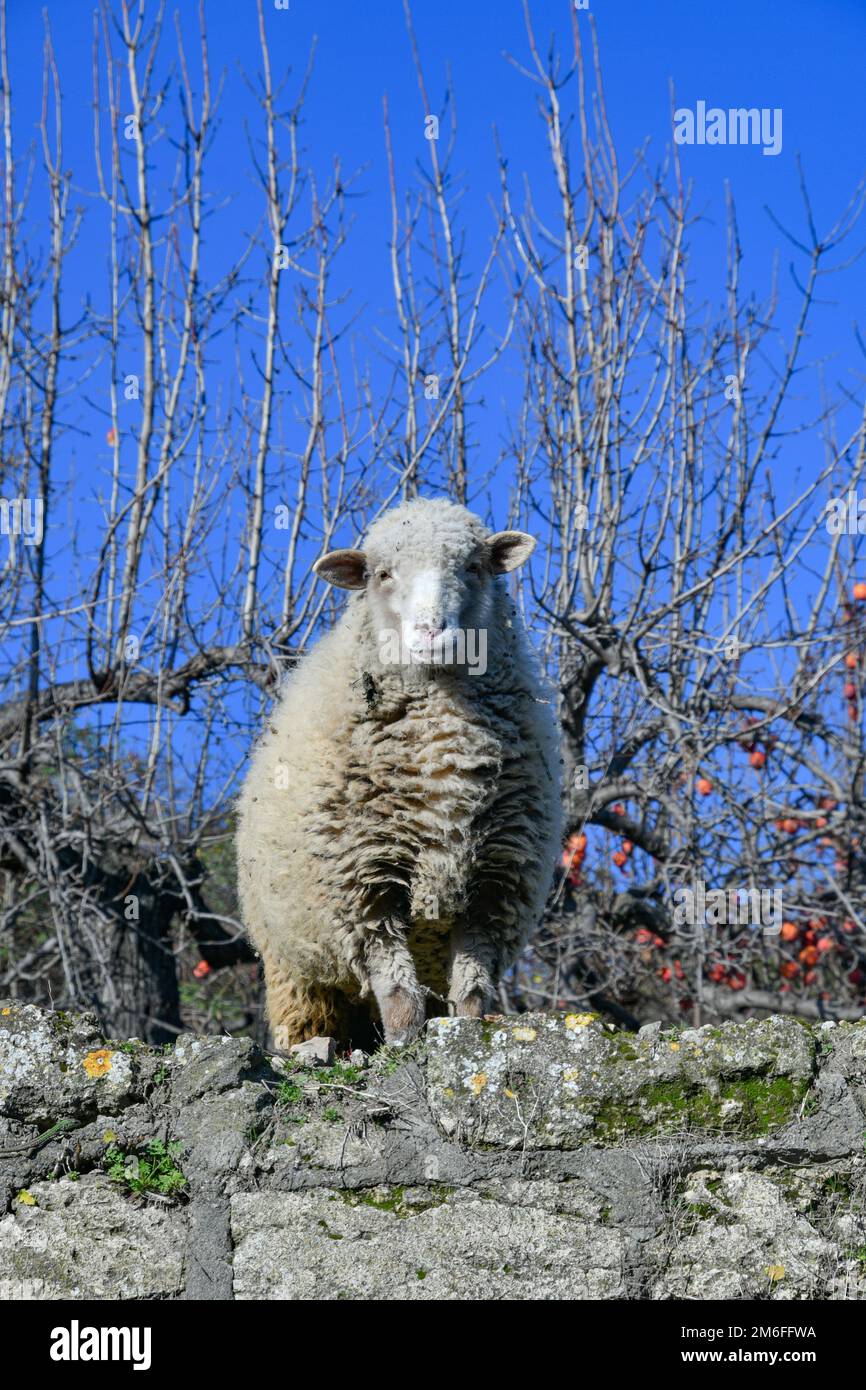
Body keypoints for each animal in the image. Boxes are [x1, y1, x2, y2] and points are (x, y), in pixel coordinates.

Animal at [234, 494, 561, 1045]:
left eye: (474, 567)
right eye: (382, 574)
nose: (431, 630)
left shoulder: (495, 886)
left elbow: (472, 986)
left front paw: (466, 1034)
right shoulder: (362, 887)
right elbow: (396, 987)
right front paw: (406, 1043)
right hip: (294, 966)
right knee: (309, 1015)